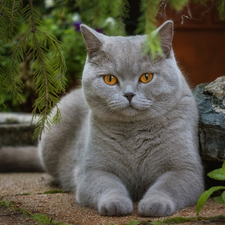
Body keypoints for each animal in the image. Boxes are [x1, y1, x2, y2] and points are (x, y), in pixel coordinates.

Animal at [37, 20, 203, 216]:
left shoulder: (186, 170)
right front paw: (116, 204)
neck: (135, 132)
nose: (129, 94)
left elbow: (167, 186)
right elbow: (109, 186)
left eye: (146, 77)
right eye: (110, 79)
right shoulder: (93, 171)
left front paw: (154, 204)